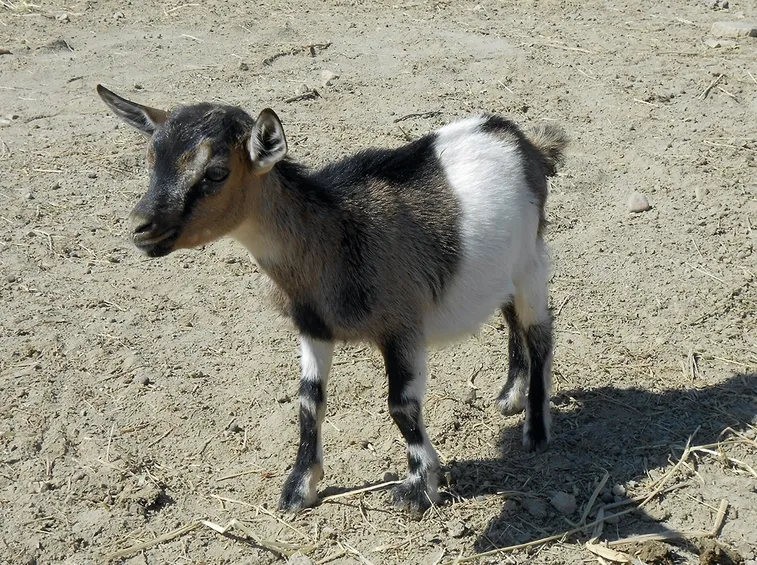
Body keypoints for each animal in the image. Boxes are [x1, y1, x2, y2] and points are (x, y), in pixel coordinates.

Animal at [96, 84, 567, 513]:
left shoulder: (401, 326)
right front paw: (299, 487)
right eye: (150, 161)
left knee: (539, 332)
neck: (336, 232)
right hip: (498, 269)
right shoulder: (313, 327)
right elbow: (308, 401)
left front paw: (419, 489)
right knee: (509, 316)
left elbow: (401, 406)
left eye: (215, 172)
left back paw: (537, 431)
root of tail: (527, 142)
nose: (141, 228)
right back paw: (510, 395)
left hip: (530, 259)